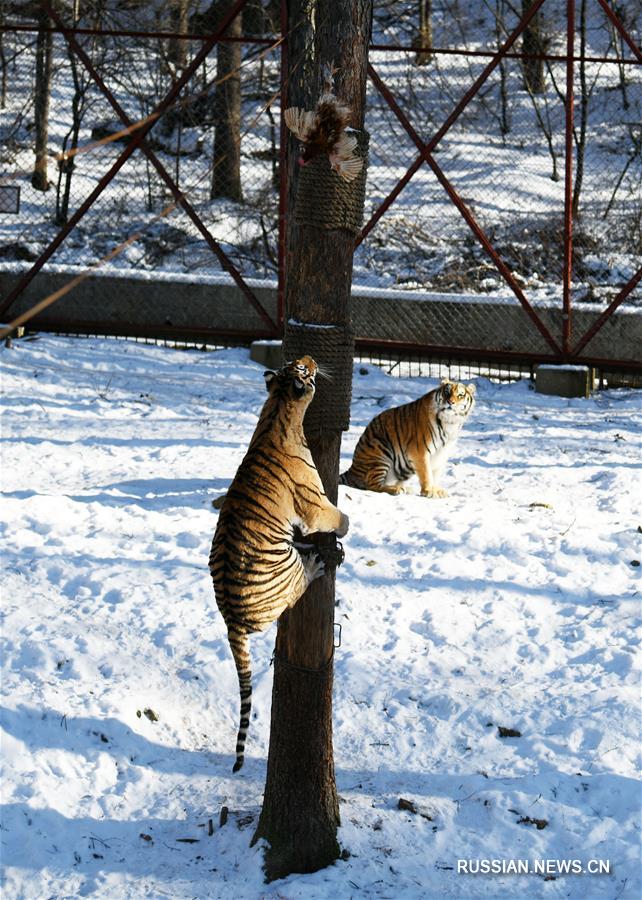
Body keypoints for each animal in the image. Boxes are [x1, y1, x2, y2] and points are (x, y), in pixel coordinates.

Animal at [209, 356, 350, 768]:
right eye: (303, 370)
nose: (311, 360)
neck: (277, 409)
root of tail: (229, 619)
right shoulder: (315, 504)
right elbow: (337, 517)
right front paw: (347, 526)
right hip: (286, 567)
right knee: (300, 583)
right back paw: (321, 562)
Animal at [338, 376, 472, 496]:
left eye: (460, 395)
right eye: (446, 392)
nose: (450, 402)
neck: (450, 422)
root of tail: (352, 470)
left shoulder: (442, 453)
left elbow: (435, 474)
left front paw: (436, 490)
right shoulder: (420, 451)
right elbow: (426, 472)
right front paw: (428, 491)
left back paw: (405, 488)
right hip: (380, 452)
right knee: (371, 485)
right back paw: (396, 489)